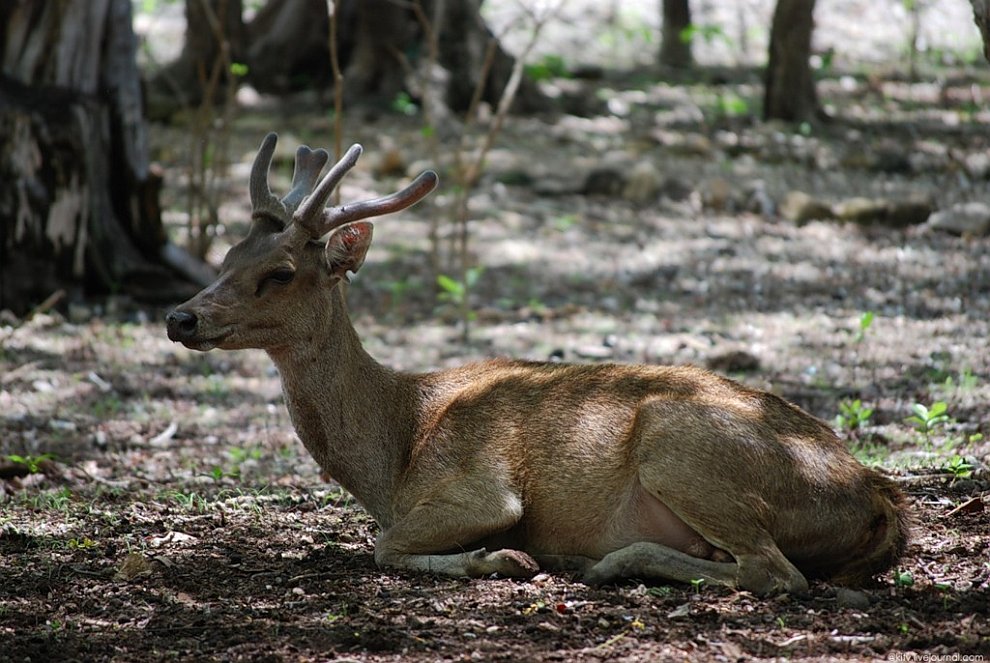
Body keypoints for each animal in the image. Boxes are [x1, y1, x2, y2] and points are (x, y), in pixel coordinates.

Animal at [165, 134, 916, 596]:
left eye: (279, 273)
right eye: (228, 255)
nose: (181, 318)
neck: (394, 451)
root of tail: (878, 494)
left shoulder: (479, 486)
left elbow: (384, 544)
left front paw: (501, 556)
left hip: (683, 447)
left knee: (775, 572)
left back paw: (603, 561)